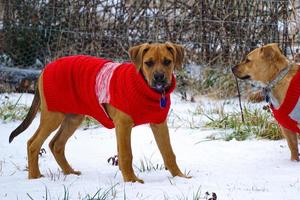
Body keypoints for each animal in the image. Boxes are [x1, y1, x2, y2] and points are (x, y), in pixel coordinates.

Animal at [10, 42, 191, 183]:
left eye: (167, 62)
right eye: (148, 63)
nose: (159, 78)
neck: (145, 88)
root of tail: (44, 69)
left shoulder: (159, 124)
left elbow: (168, 153)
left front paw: (180, 177)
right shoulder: (123, 125)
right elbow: (126, 154)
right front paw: (131, 181)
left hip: (73, 118)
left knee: (56, 144)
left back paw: (69, 173)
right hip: (53, 115)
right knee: (33, 143)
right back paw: (34, 177)